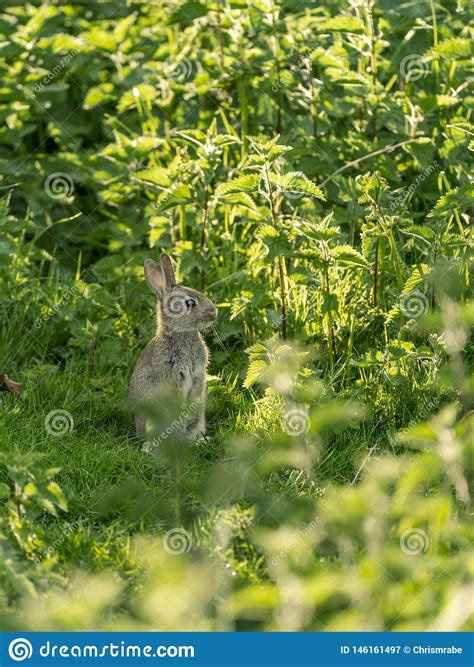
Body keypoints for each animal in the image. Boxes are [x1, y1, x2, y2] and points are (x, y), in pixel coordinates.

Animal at [130, 253, 218, 446]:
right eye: (190, 303)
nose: (214, 313)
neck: (180, 333)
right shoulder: (171, 375)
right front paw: (182, 407)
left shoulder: (199, 373)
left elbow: (197, 388)